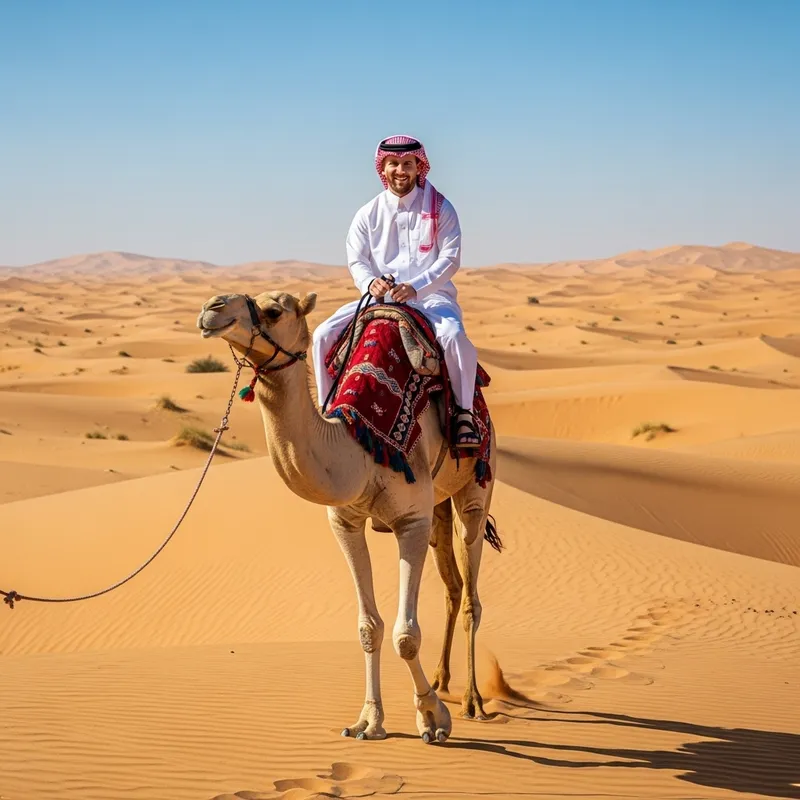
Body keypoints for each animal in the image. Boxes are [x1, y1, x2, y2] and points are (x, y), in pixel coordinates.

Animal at [196, 290, 498, 744]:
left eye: (274, 310)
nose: (211, 308)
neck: (361, 444)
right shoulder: (346, 523)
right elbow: (369, 628)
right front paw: (369, 721)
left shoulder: (411, 520)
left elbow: (405, 634)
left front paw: (432, 718)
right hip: (439, 506)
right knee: (453, 586)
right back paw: (443, 680)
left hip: (477, 486)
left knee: (471, 593)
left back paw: (472, 701)